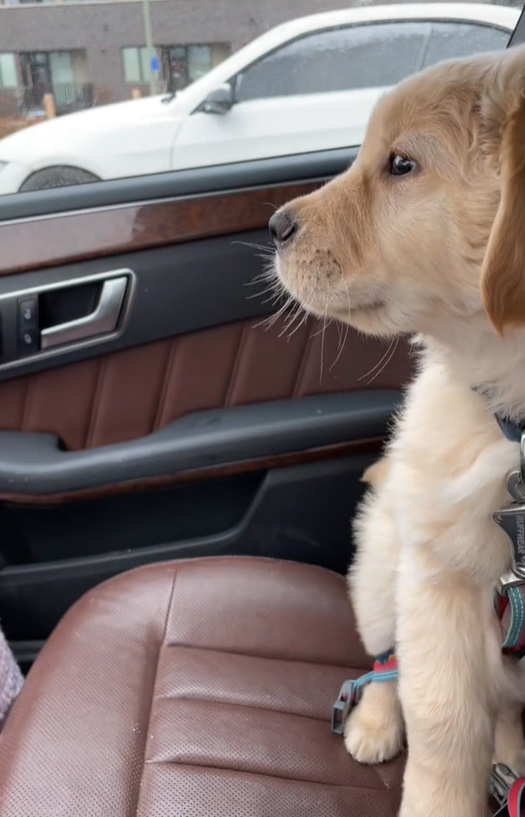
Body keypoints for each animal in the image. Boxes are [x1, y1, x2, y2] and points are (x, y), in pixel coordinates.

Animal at [270, 44, 525, 816]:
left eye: (401, 164)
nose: (274, 226)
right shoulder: (438, 578)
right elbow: (443, 724)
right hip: (387, 562)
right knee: (389, 663)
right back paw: (375, 722)